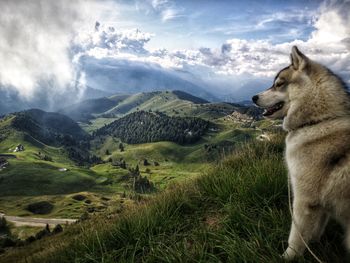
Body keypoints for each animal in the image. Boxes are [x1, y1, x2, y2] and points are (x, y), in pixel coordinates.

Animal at [253, 46, 350, 260]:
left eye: (279, 84)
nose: (253, 98)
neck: (318, 121)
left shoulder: (304, 200)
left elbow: (296, 237)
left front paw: (286, 258)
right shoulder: (318, 206)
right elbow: (315, 231)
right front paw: (313, 246)